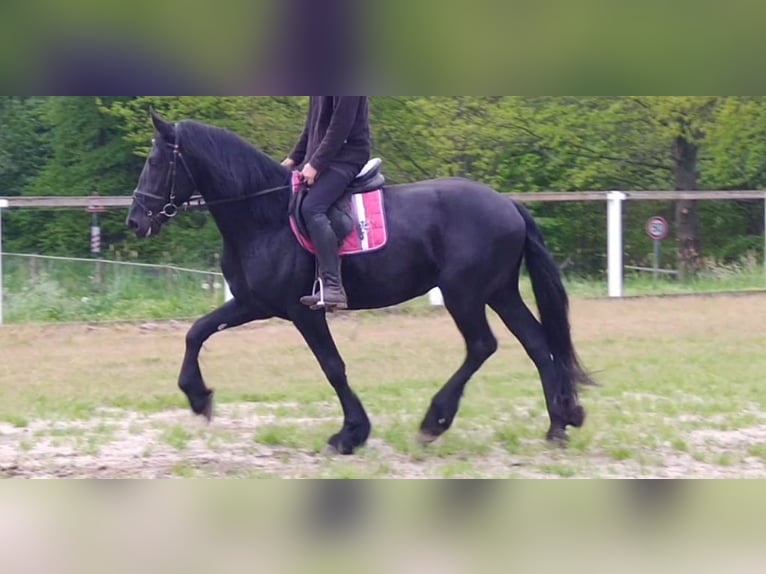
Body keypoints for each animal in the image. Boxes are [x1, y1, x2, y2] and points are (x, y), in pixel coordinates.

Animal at [126, 108, 593, 455]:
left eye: (156, 162)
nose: (135, 221)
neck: (264, 216)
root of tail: (508, 204)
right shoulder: (252, 303)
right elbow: (197, 331)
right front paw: (198, 397)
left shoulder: (303, 311)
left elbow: (333, 366)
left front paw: (350, 434)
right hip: (500, 292)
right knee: (538, 345)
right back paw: (558, 426)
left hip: (464, 294)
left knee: (483, 345)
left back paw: (435, 421)